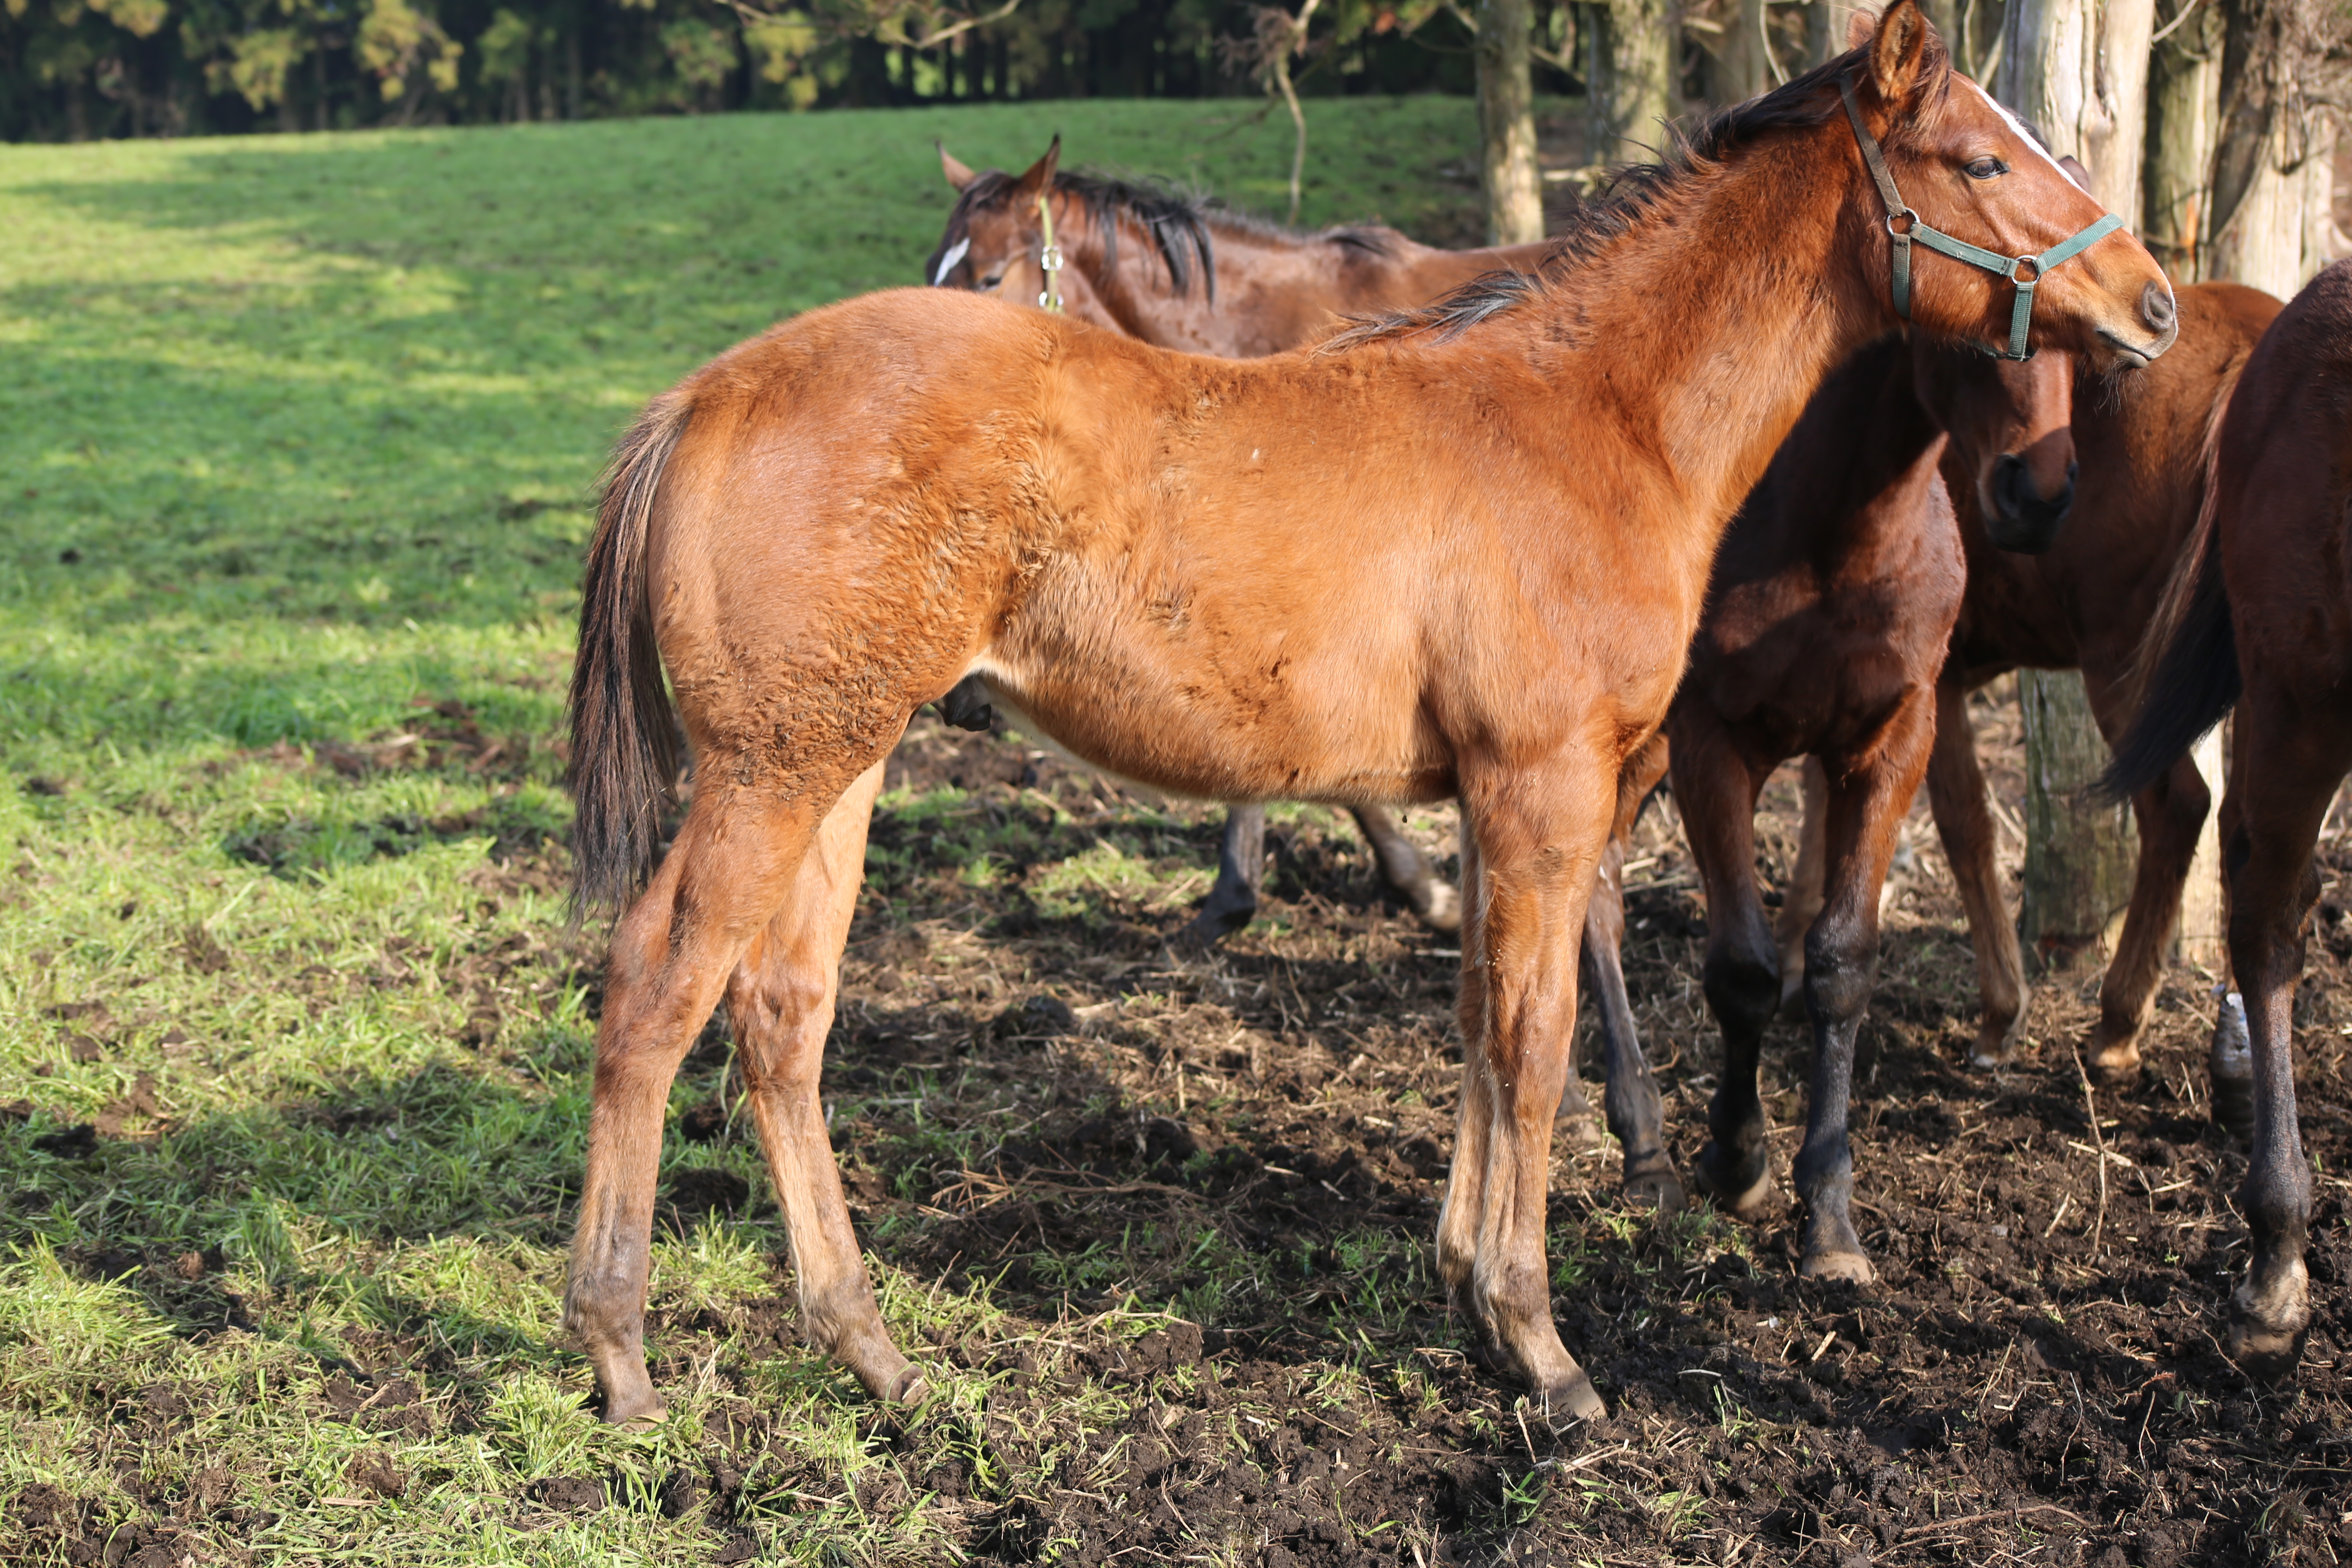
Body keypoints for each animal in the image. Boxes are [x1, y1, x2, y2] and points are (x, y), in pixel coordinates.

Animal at [559, 9, 2173, 1439]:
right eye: (1979, 158)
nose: (2152, 300)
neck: (1595, 418)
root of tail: (704, 398)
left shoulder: (1498, 794)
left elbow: (1475, 1018)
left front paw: (1465, 1284)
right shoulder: (1543, 787)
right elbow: (1534, 1035)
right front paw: (1541, 1346)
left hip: (841, 761)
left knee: (783, 1012)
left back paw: (871, 1350)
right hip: (772, 772)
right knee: (654, 991)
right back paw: (621, 1356)